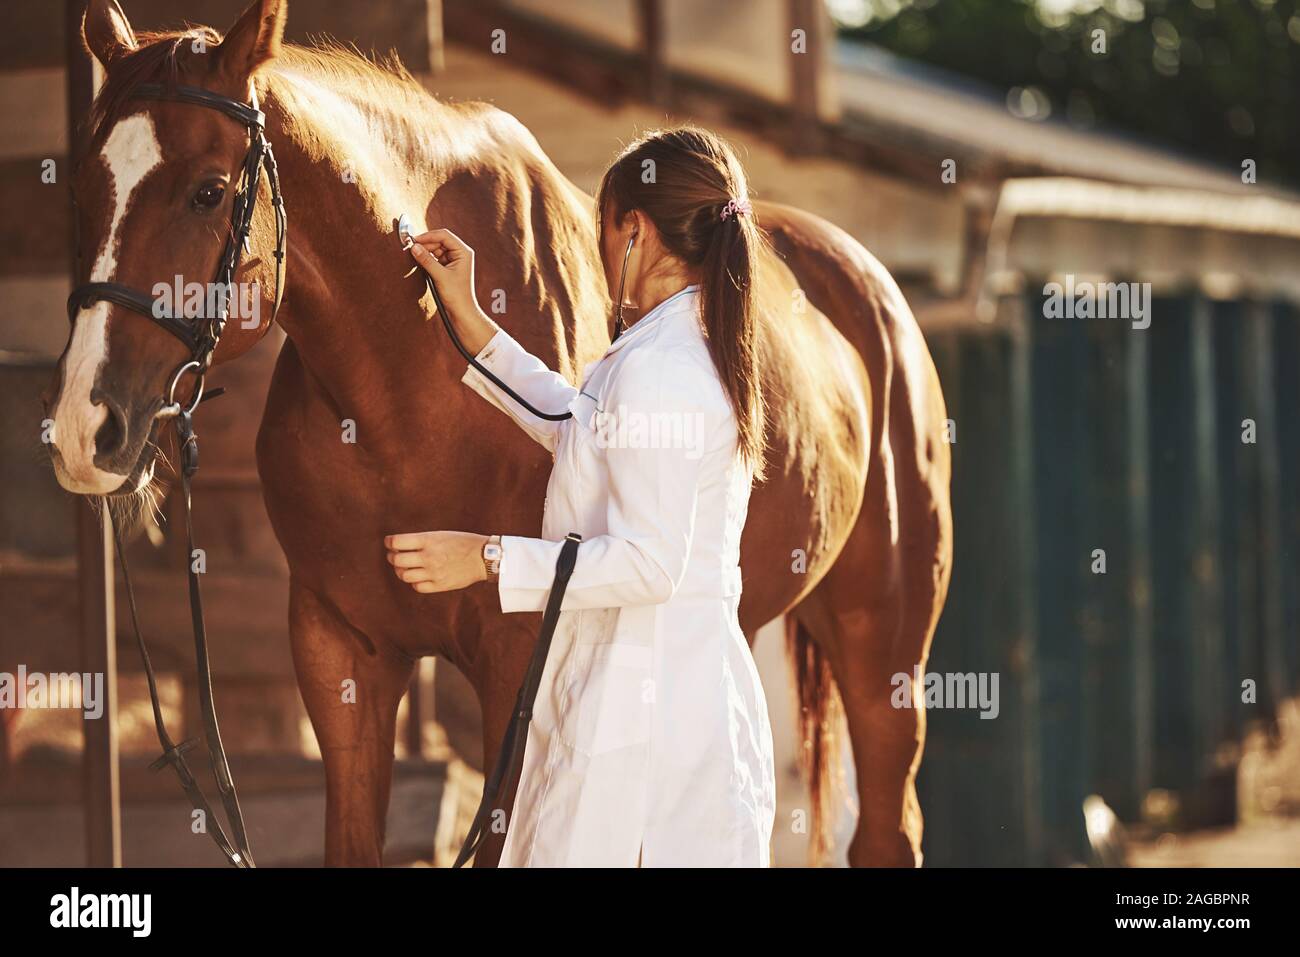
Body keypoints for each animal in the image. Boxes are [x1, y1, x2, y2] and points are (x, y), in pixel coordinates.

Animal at [46, 0, 952, 867]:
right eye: (82, 189)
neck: (407, 392)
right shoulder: (340, 653)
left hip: (886, 660)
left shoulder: (520, 666)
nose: (84, 428)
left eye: (206, 191)